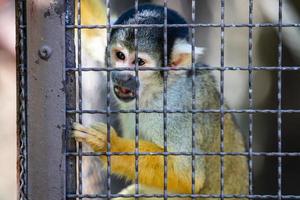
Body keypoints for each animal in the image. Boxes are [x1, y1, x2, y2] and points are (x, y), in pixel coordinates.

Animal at [73, 3, 248, 199]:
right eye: (120, 56)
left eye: (139, 62)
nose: (121, 76)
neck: (154, 91)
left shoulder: (175, 112)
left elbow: (188, 176)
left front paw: (108, 144)